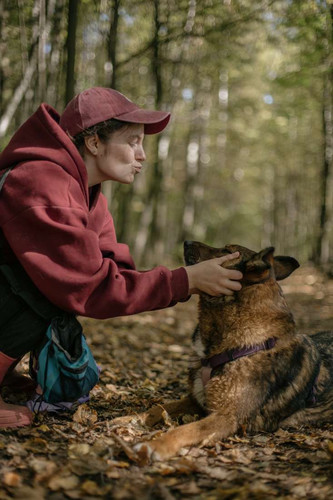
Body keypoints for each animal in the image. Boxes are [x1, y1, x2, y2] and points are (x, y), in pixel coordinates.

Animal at [111, 242, 332, 460]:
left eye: (226, 250)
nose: (186, 242)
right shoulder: (196, 400)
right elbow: (159, 407)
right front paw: (129, 419)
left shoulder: (226, 417)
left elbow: (184, 430)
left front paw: (154, 445)